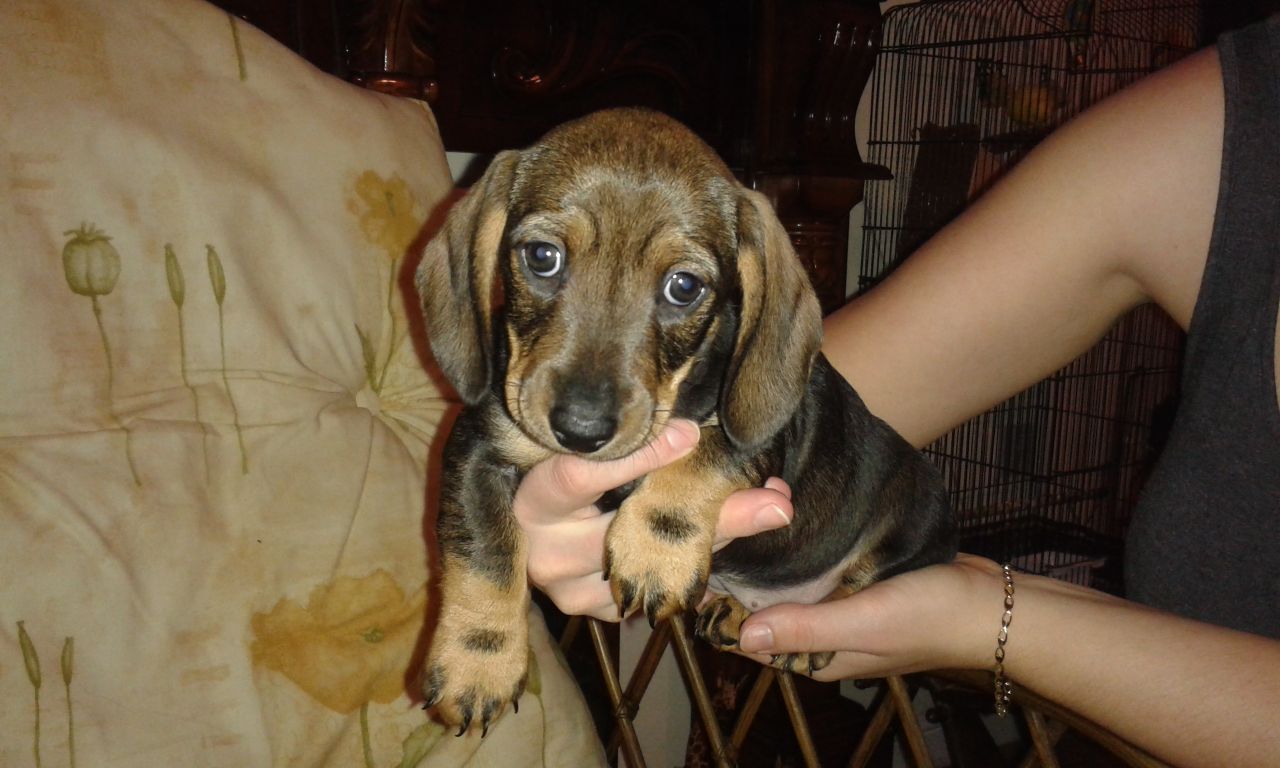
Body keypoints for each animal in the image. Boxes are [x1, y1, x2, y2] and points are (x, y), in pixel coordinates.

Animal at [414, 104, 957, 737]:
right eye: (543, 257)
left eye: (684, 286)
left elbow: (703, 452)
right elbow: (485, 550)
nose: (580, 430)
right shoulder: (480, 445)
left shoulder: (756, 437)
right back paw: (736, 608)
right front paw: (478, 661)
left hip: (915, 514)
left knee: (862, 577)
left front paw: (656, 548)